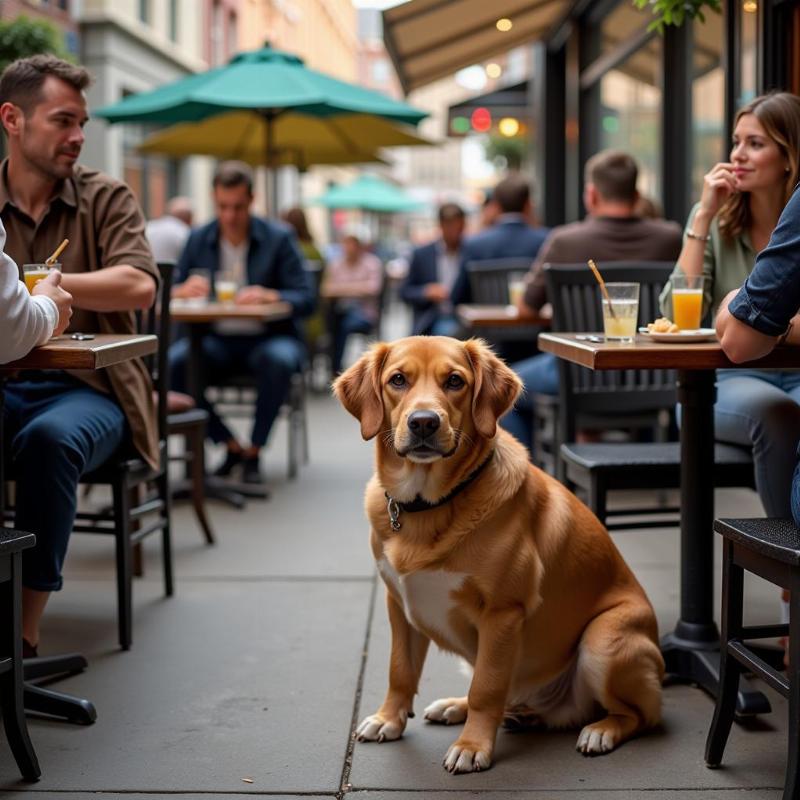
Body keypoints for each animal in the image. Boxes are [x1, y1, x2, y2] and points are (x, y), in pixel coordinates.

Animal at [334, 338, 664, 776]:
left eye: (455, 381)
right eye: (398, 380)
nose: (424, 422)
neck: (430, 506)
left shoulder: (503, 613)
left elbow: (487, 688)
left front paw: (473, 746)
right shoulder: (398, 603)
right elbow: (400, 670)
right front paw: (390, 719)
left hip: (603, 640)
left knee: (643, 715)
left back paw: (601, 730)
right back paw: (462, 707)